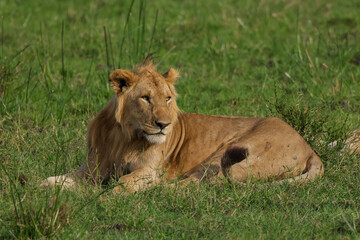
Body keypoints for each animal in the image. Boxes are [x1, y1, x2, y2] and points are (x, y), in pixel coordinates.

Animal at [41, 56, 324, 193]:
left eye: (167, 98)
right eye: (146, 98)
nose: (163, 124)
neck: (123, 137)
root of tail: (310, 148)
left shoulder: (149, 171)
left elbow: (124, 183)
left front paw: (104, 195)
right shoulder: (91, 170)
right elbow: (55, 179)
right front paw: (39, 188)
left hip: (231, 151)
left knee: (210, 183)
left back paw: (161, 190)